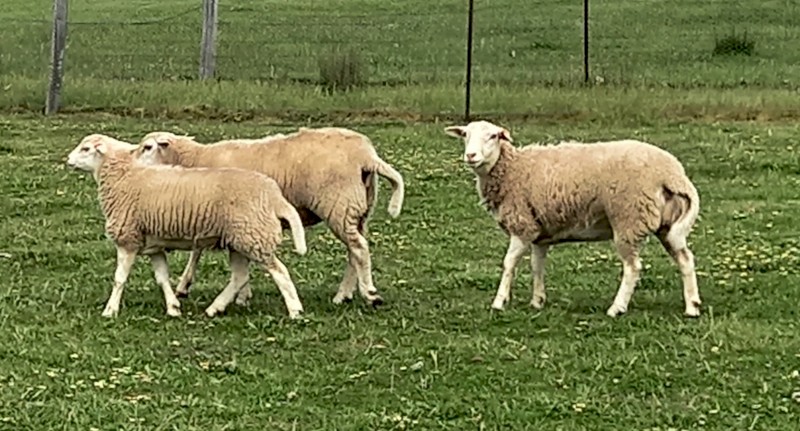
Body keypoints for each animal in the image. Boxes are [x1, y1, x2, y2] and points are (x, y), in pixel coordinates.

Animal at [65, 138, 308, 319]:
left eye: (85, 148)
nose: (67, 160)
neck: (123, 176)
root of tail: (275, 196)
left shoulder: (128, 238)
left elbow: (119, 279)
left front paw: (110, 310)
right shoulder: (153, 246)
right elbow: (162, 278)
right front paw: (173, 308)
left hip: (253, 236)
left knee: (279, 272)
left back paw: (295, 310)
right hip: (239, 239)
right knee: (240, 277)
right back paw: (214, 308)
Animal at [132, 126, 405, 308]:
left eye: (148, 147)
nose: (129, 163)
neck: (195, 159)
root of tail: (367, 155)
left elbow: (198, 251)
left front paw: (186, 286)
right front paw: (241, 295)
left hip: (340, 205)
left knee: (358, 249)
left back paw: (369, 293)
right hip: (359, 210)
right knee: (354, 252)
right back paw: (344, 294)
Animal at [443, 120, 702, 317]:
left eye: (493, 136)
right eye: (465, 135)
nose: (470, 155)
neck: (513, 169)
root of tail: (673, 174)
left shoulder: (522, 225)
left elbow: (509, 264)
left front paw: (499, 302)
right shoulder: (540, 232)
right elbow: (537, 266)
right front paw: (537, 301)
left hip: (628, 219)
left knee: (633, 267)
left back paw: (616, 308)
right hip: (668, 225)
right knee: (685, 259)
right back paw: (692, 307)